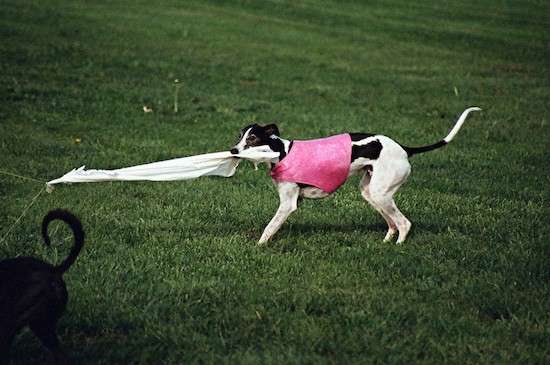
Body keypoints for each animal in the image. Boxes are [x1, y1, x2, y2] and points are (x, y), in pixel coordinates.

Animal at [231, 106, 480, 243]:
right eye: (240, 136)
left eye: (252, 138)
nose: (233, 150)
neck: (282, 152)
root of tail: (404, 148)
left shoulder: (287, 204)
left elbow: (269, 227)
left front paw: (259, 246)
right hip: (371, 193)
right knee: (392, 224)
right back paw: (385, 243)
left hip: (381, 194)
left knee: (404, 223)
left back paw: (398, 246)